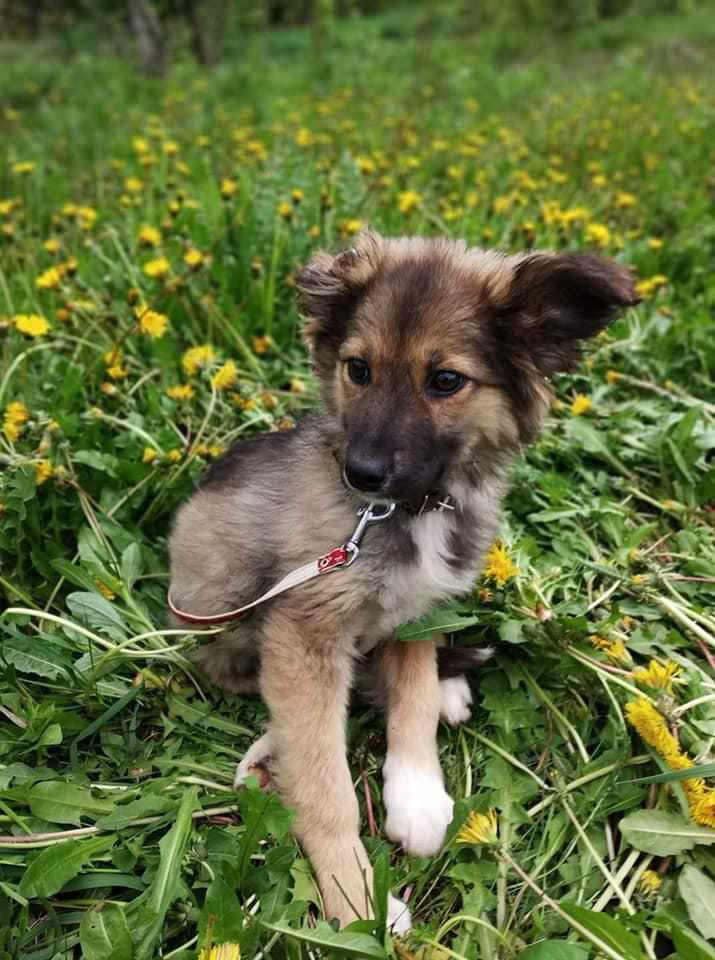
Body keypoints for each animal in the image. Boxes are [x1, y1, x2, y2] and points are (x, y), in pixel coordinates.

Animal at [168, 231, 636, 928]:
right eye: (358, 369)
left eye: (445, 381)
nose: (360, 474)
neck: (410, 510)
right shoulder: (305, 626)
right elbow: (325, 775)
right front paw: (353, 896)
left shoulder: (422, 610)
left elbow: (412, 692)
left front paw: (415, 790)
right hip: (214, 585)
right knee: (243, 675)